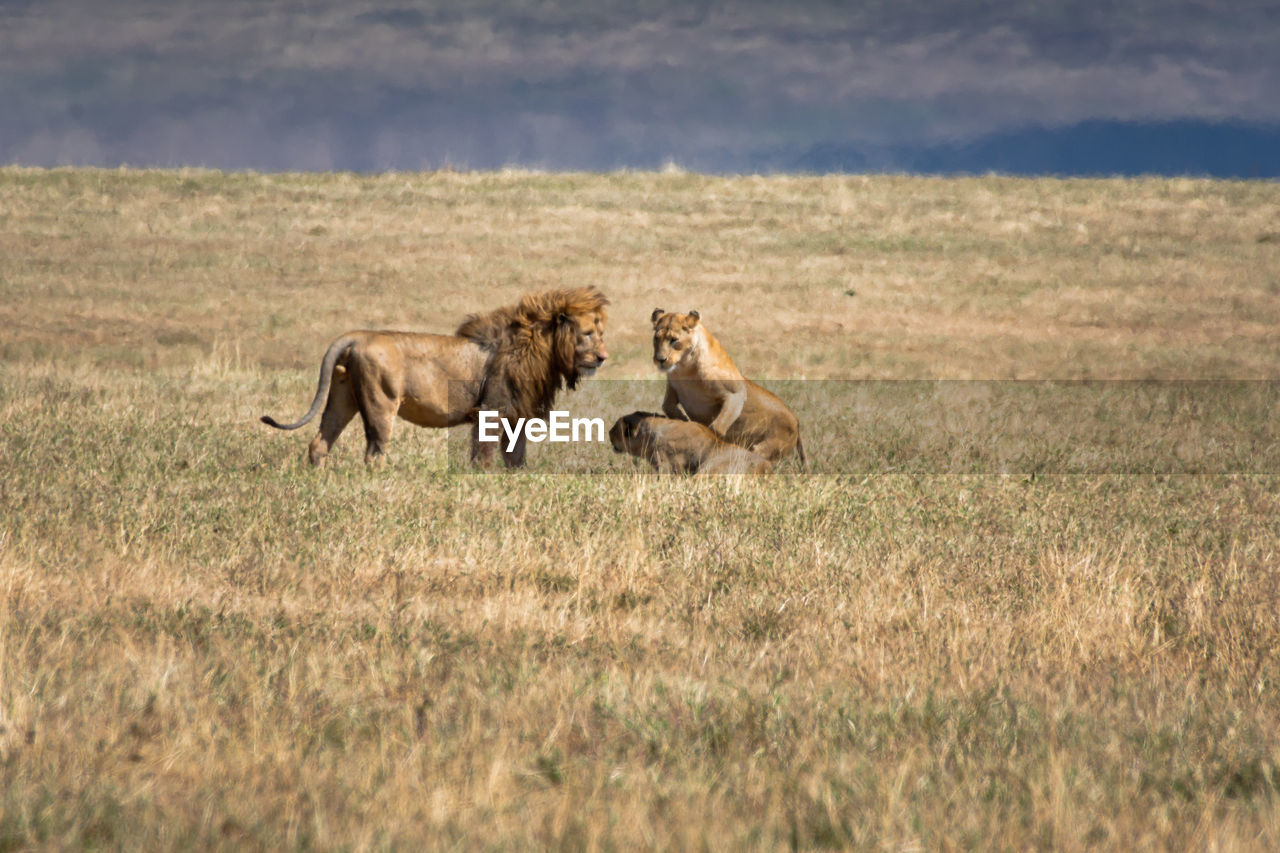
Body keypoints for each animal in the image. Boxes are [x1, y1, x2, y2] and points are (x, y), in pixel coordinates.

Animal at [259, 289, 609, 468]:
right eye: (588, 334)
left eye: (601, 333)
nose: (603, 357)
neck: (541, 350)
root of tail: (357, 336)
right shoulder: (491, 410)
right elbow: (483, 455)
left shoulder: (518, 413)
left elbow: (516, 457)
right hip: (380, 402)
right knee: (373, 452)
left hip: (343, 397)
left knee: (319, 443)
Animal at [655, 307, 803, 466]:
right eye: (656, 338)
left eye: (674, 340)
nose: (660, 359)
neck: (684, 368)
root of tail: (796, 420)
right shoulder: (672, 392)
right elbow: (667, 407)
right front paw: (685, 422)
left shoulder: (736, 393)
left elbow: (717, 428)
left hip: (767, 448)